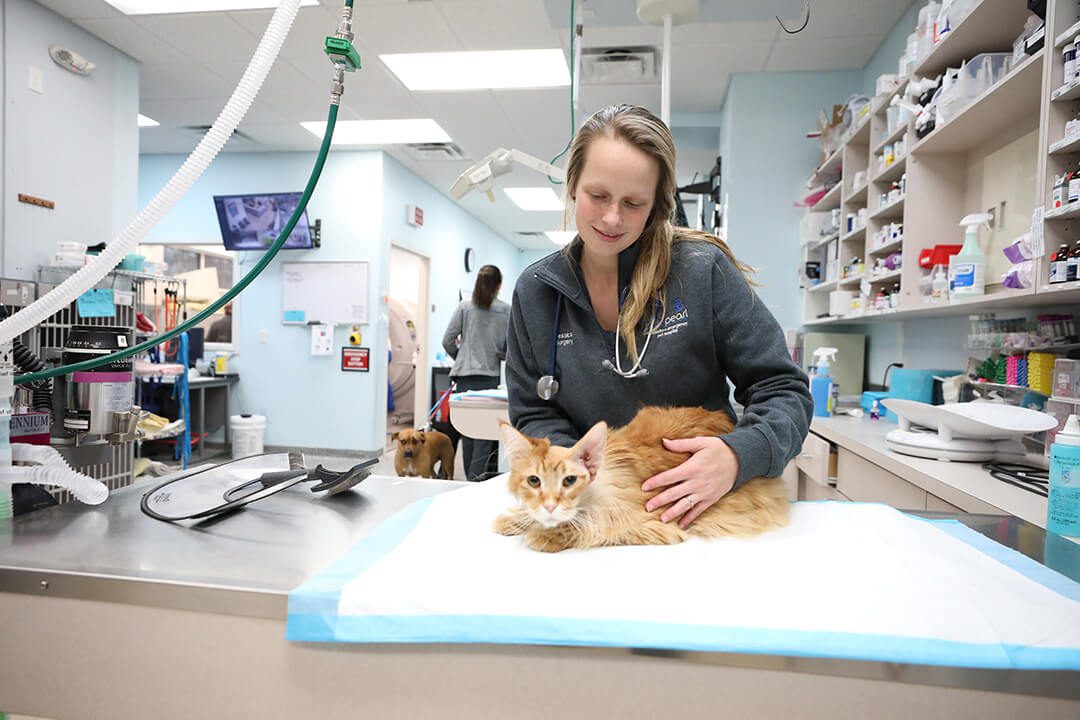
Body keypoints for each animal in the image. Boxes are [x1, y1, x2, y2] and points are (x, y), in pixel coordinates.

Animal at [494, 405, 790, 552]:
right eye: (534, 481)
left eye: (569, 481)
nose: (549, 505)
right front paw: (515, 520)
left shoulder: (653, 525)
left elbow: (586, 529)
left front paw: (544, 535)